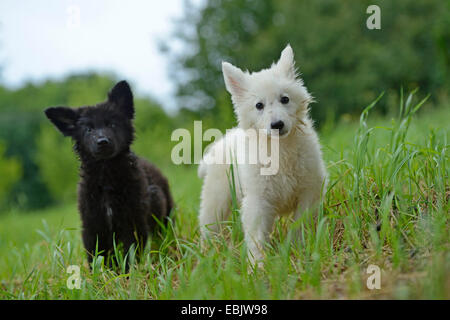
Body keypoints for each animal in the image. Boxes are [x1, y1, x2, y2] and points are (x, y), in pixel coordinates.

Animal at [44, 80, 173, 268]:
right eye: (88, 130)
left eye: (112, 124)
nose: (102, 141)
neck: (106, 177)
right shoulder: (93, 226)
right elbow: (98, 258)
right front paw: (102, 275)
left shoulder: (133, 222)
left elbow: (129, 254)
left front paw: (128, 274)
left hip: (165, 217)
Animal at [197, 45, 326, 264]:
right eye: (259, 105)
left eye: (285, 99)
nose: (277, 125)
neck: (280, 149)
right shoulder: (258, 199)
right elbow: (256, 237)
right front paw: (258, 265)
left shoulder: (310, 189)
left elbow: (299, 223)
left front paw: (297, 249)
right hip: (216, 203)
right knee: (209, 230)